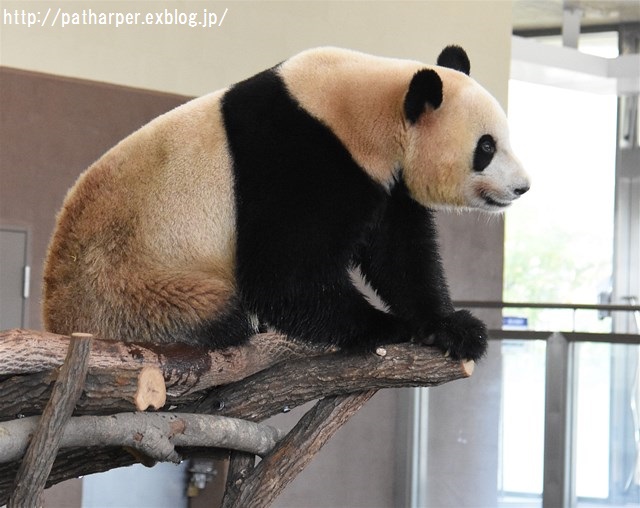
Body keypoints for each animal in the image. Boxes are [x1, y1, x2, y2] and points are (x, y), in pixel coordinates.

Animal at [41, 44, 528, 362]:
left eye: (504, 137)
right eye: (486, 147)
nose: (522, 188)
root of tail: (56, 321)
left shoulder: (386, 179)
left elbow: (401, 255)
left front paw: (452, 328)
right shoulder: (297, 160)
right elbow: (284, 276)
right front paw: (388, 327)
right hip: (130, 284)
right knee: (210, 311)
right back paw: (236, 325)